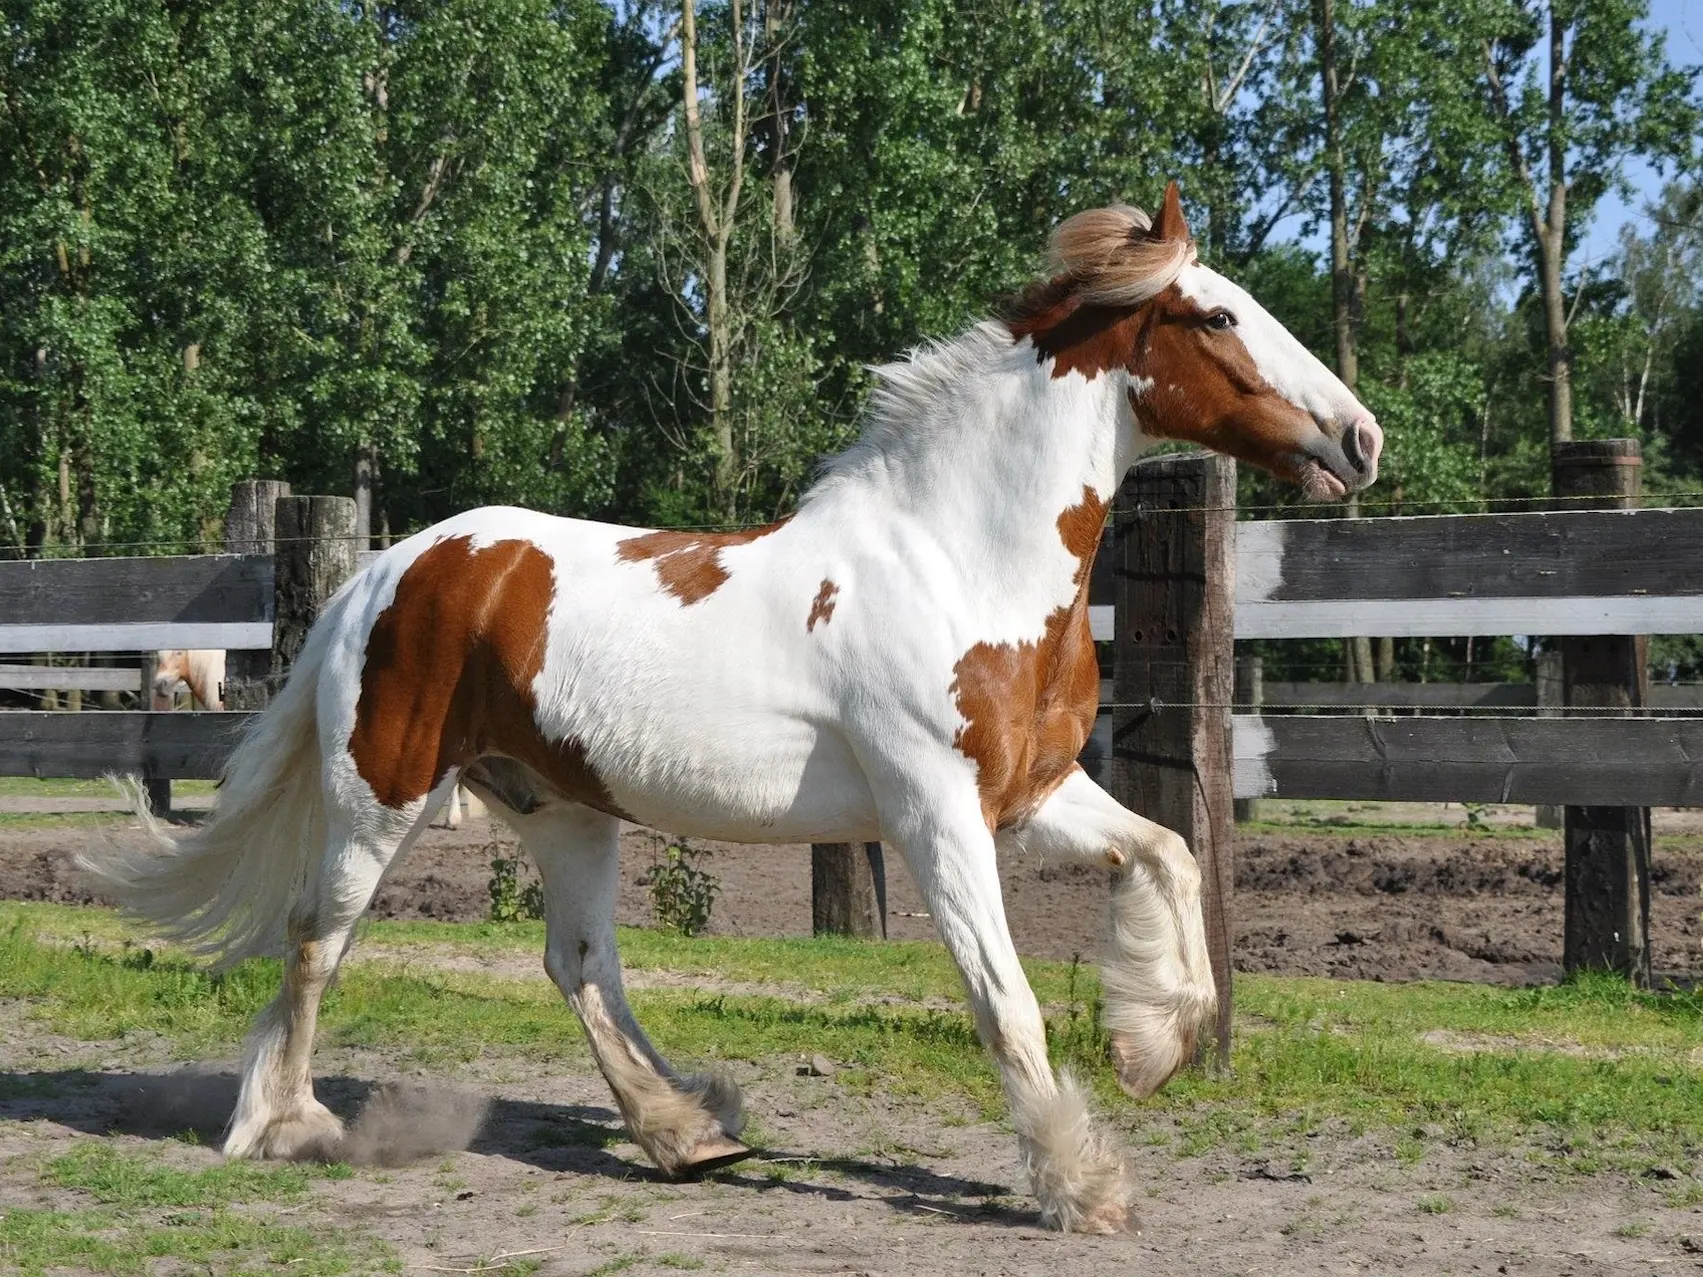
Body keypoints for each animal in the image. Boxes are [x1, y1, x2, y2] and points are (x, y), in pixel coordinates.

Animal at [83, 184, 1382, 1232]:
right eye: (1216, 318)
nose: (1358, 437)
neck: (956, 559)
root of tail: (386, 570)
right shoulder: (932, 814)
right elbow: (1003, 996)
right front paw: (1080, 1181)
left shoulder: (1031, 794)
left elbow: (1168, 851)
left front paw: (1151, 1043)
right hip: (383, 791)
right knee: (317, 938)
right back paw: (286, 1124)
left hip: (563, 807)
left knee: (578, 961)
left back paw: (687, 1127)